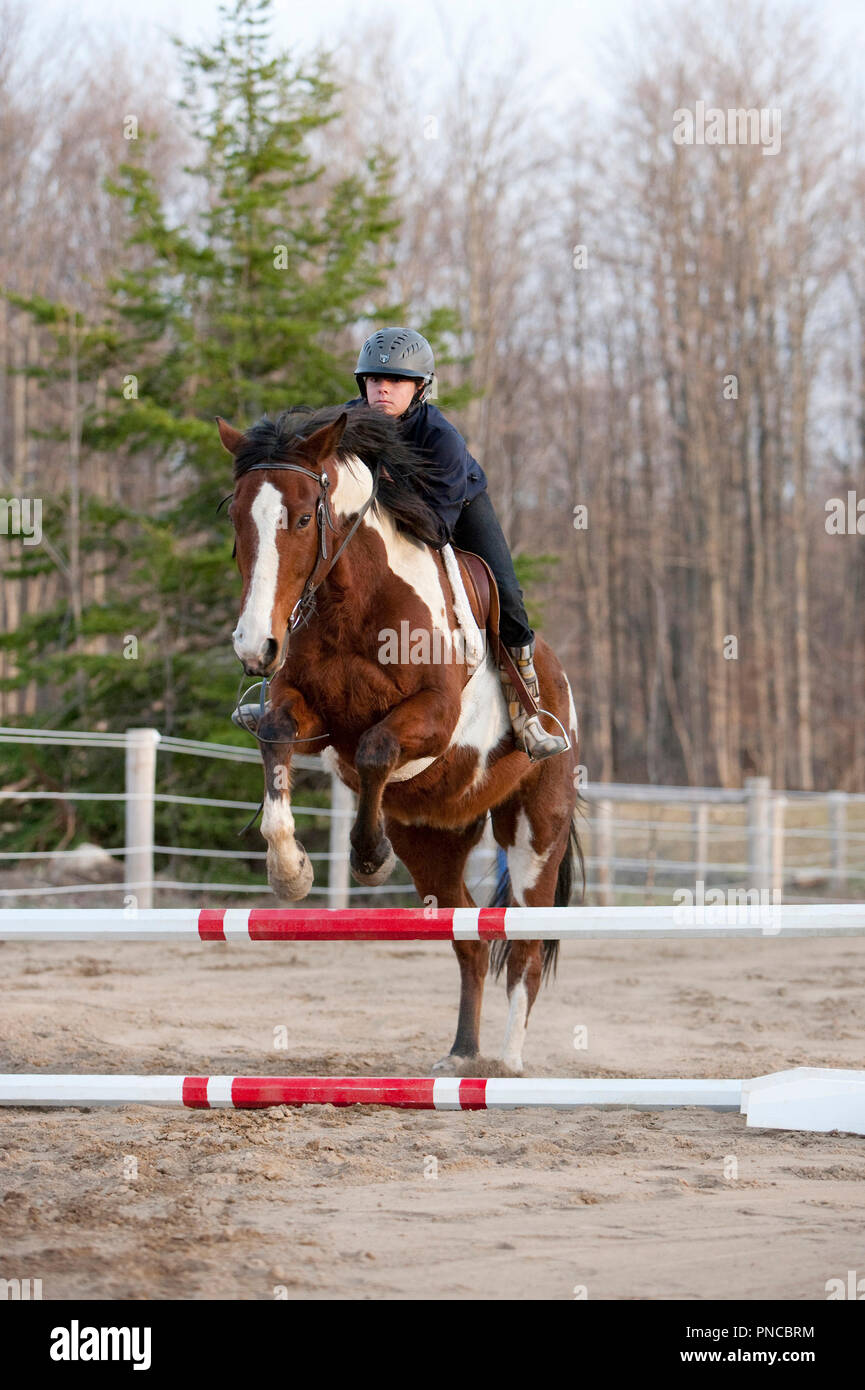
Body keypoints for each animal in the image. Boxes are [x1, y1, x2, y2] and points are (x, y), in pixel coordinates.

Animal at [216, 403, 586, 1073]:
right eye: (236, 517)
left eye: (304, 518)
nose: (256, 646)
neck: (352, 601)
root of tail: (560, 681)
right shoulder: (310, 718)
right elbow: (280, 737)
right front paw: (291, 871)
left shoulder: (433, 718)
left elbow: (377, 749)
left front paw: (367, 855)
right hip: (433, 839)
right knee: (469, 938)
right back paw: (462, 1056)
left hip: (536, 831)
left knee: (522, 946)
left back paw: (507, 1064)